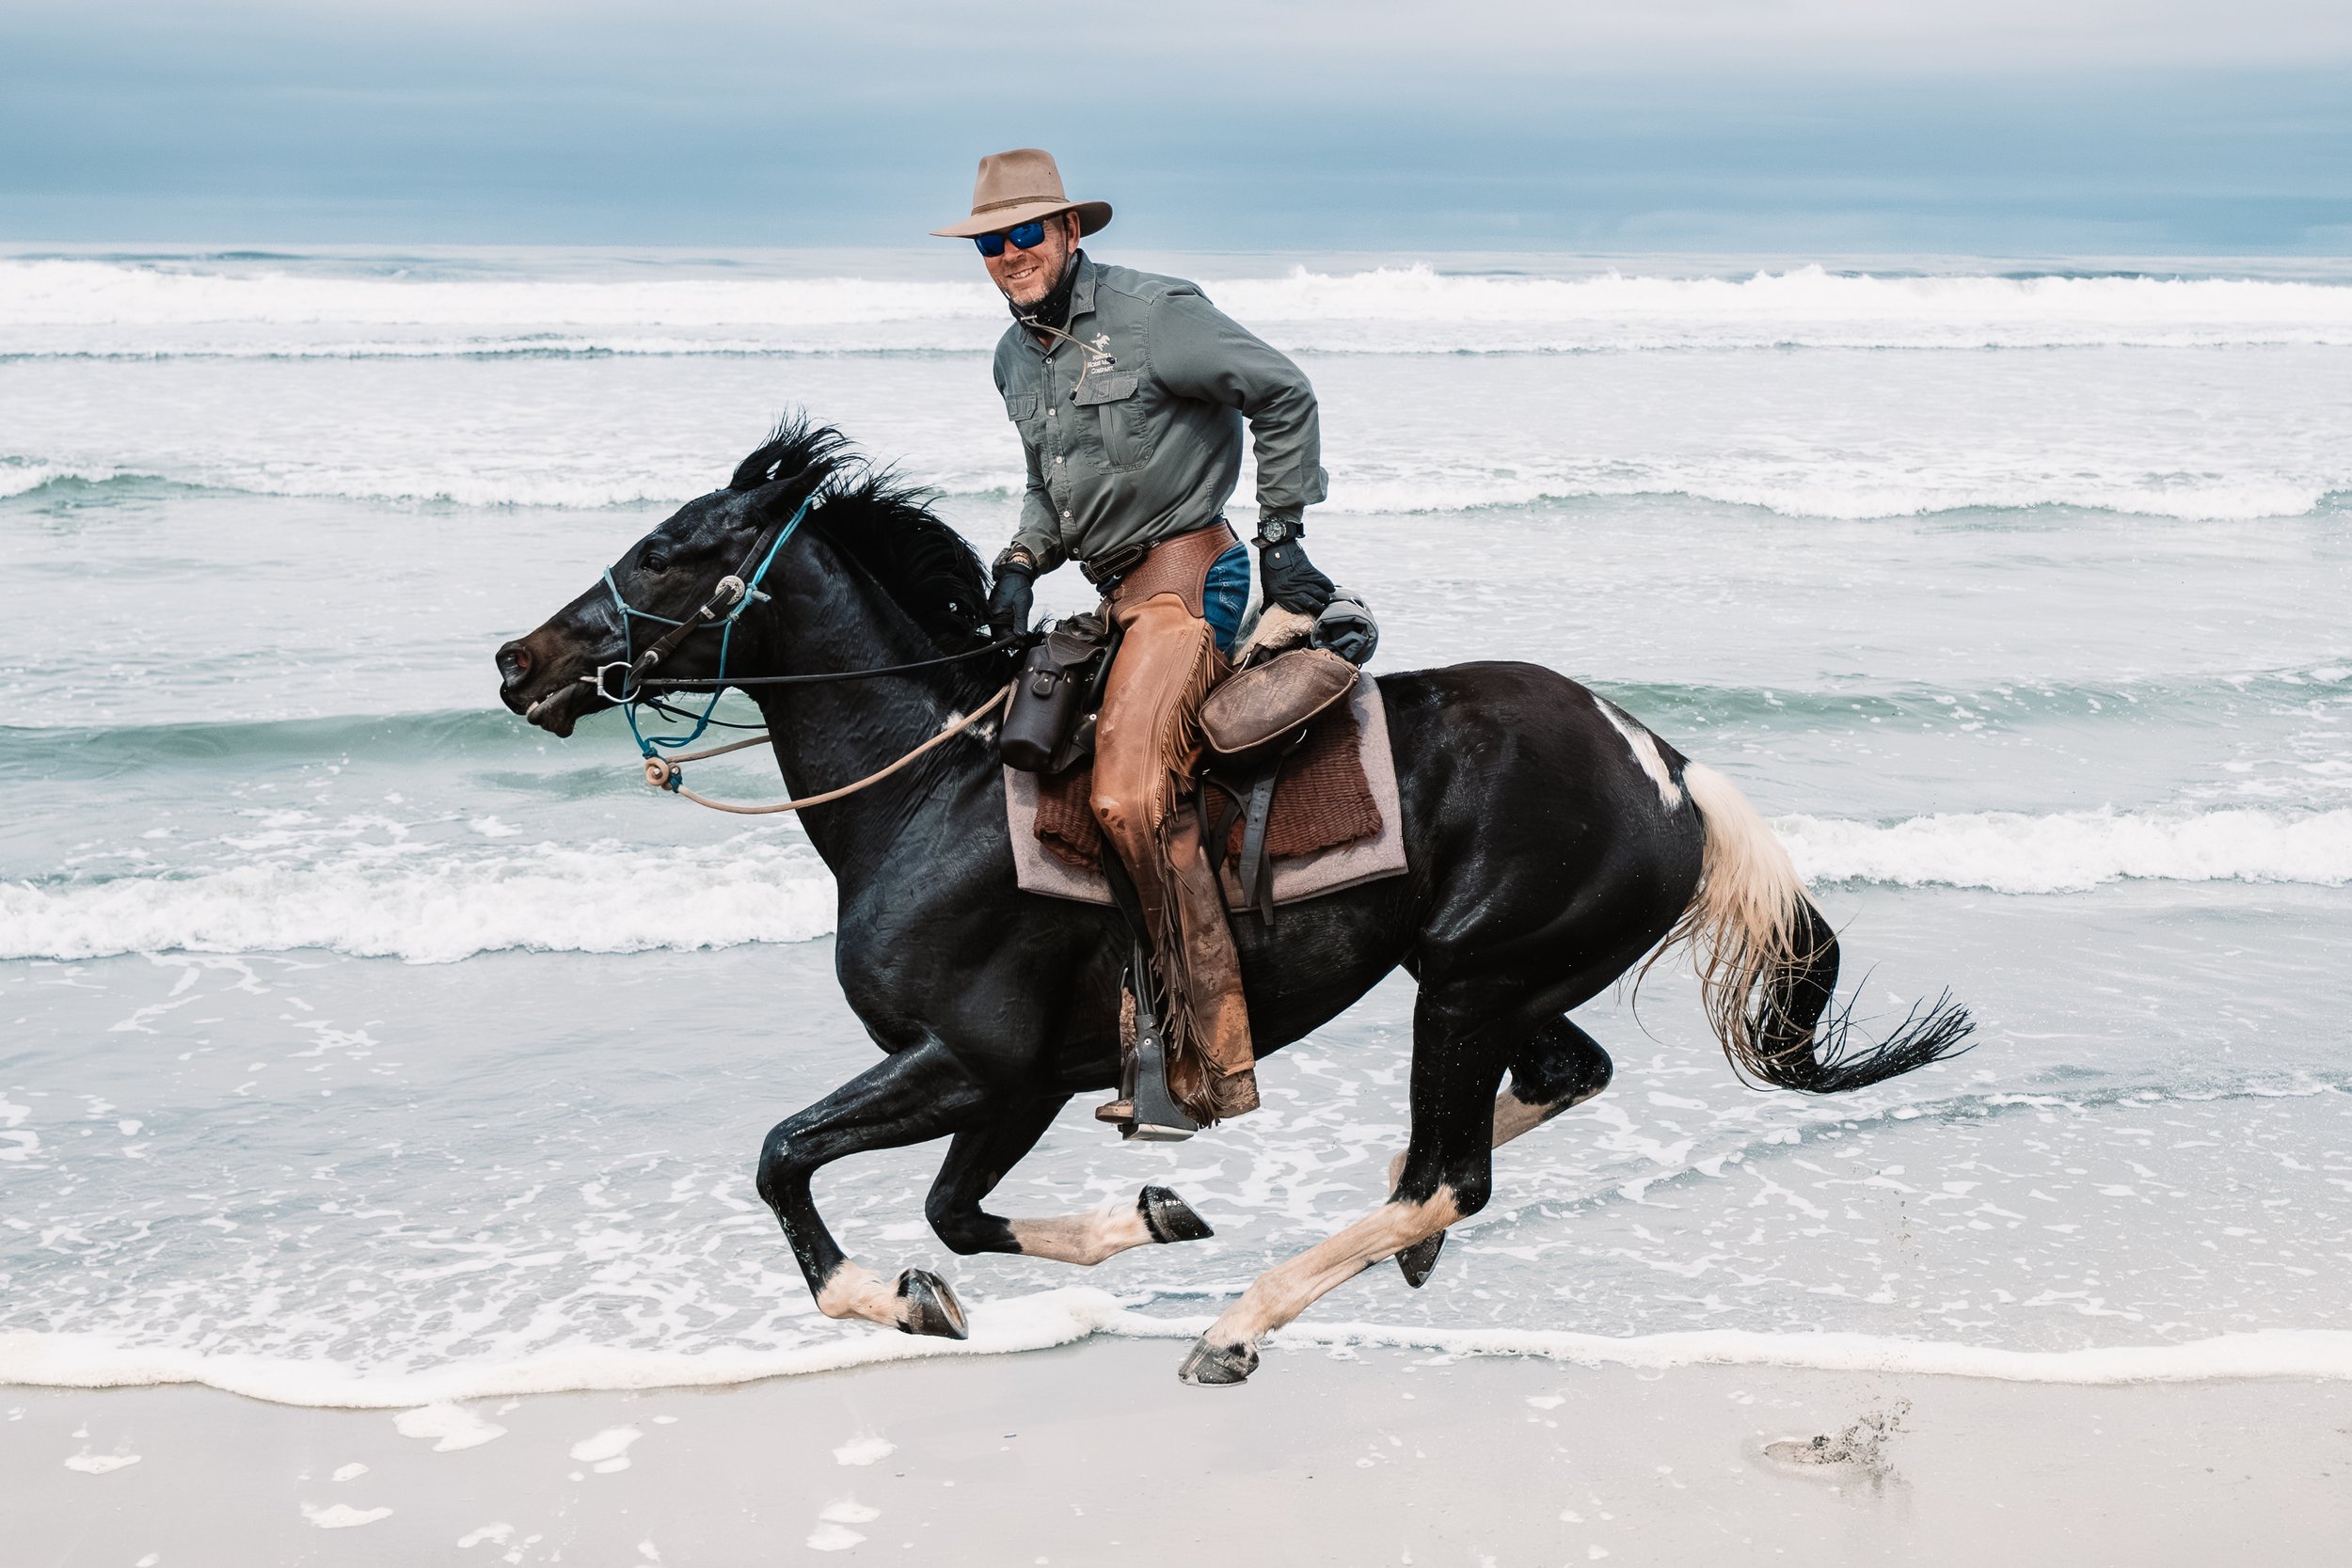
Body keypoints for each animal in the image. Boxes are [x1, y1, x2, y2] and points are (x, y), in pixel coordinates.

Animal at [493, 418, 1973, 1385]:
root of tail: (1663, 764)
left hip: (1468, 980)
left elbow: (785, 1156)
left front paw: (890, 1298)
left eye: (671, 552)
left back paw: (1243, 1321)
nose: (520, 661)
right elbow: (955, 1213)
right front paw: (1142, 1217)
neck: (932, 791)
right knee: (1550, 1086)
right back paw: (1378, 1251)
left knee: (1452, 1172)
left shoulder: (971, 1061)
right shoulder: (1021, 1085)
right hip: (1497, 980)